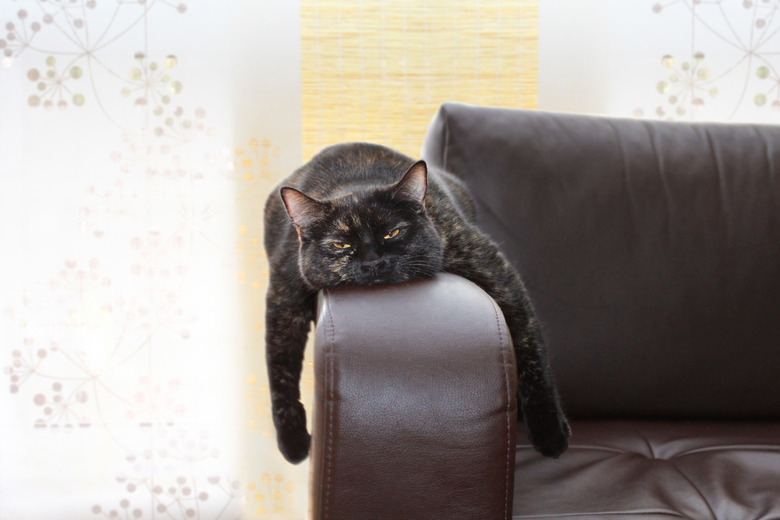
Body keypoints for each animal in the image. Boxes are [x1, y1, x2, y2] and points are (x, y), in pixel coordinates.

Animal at [266, 142, 568, 464]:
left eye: (393, 232)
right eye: (340, 244)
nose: (372, 262)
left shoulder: (498, 275)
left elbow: (530, 351)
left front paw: (550, 432)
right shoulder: (283, 298)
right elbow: (280, 372)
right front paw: (293, 441)